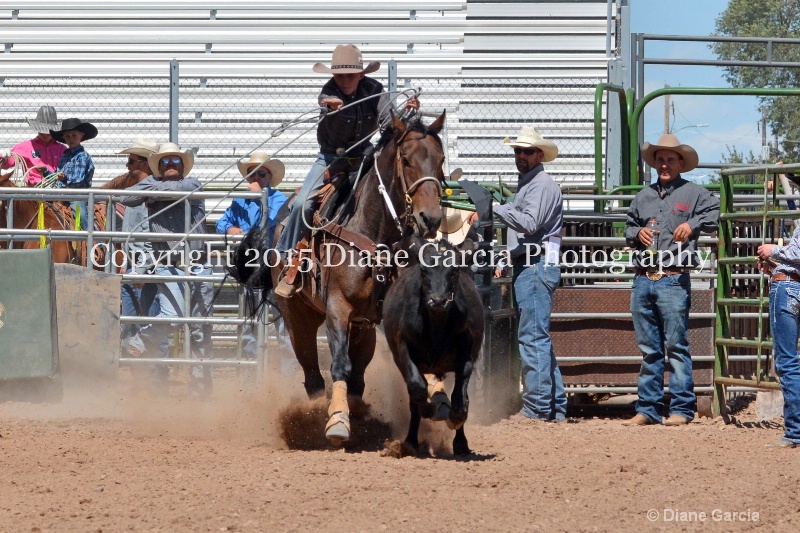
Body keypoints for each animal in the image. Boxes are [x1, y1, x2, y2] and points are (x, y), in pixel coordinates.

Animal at [248, 112, 444, 444]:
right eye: (406, 159)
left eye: (441, 159)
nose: (430, 218)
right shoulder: (337, 309)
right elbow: (339, 366)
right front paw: (338, 420)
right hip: (298, 319)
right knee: (313, 376)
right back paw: (315, 416)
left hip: (363, 329)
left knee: (358, 378)